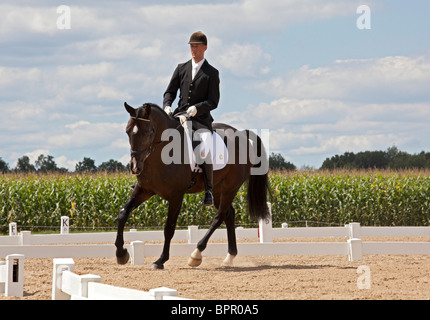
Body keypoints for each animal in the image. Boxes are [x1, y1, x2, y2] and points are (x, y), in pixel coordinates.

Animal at [114, 102, 268, 268]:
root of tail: (242, 134)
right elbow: (123, 213)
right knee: (229, 214)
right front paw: (121, 254)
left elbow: (169, 228)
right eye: (128, 131)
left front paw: (161, 260)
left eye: (149, 131)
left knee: (219, 216)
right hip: (218, 190)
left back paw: (196, 254)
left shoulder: (176, 196)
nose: (135, 167)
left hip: (230, 188)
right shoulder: (144, 189)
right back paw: (229, 256)